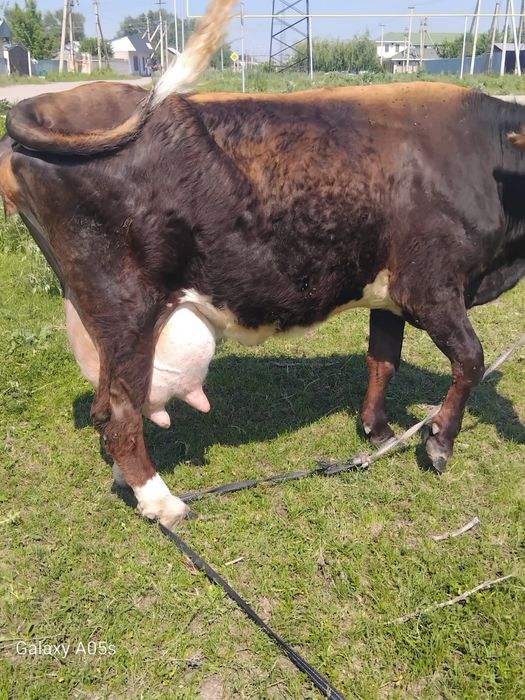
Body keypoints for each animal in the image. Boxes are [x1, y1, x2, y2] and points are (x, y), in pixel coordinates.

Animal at [0, 0, 524, 529]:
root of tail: (54, 102)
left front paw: (378, 433)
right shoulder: (430, 286)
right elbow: (471, 359)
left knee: (110, 405)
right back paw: (162, 502)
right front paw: (439, 442)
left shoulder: (387, 289)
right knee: (118, 411)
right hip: (125, 303)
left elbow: (383, 361)